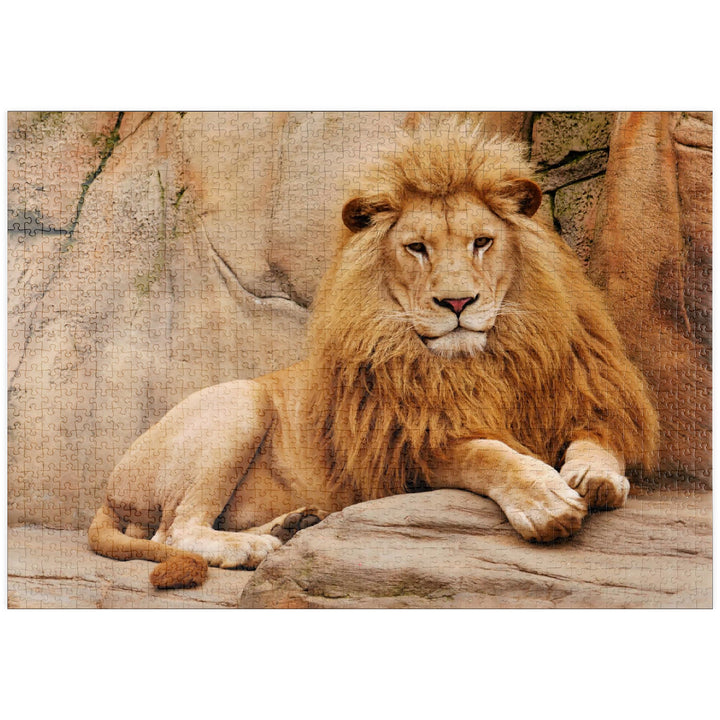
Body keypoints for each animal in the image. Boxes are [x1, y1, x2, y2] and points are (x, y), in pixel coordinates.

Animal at [89, 121, 658, 589]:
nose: (458, 303)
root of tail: (110, 489)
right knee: (173, 531)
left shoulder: (584, 393)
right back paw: (254, 546)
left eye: (482, 242)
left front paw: (595, 477)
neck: (482, 361)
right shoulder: (409, 447)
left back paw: (295, 524)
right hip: (241, 402)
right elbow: (487, 454)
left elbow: (598, 437)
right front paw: (545, 501)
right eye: (416, 248)